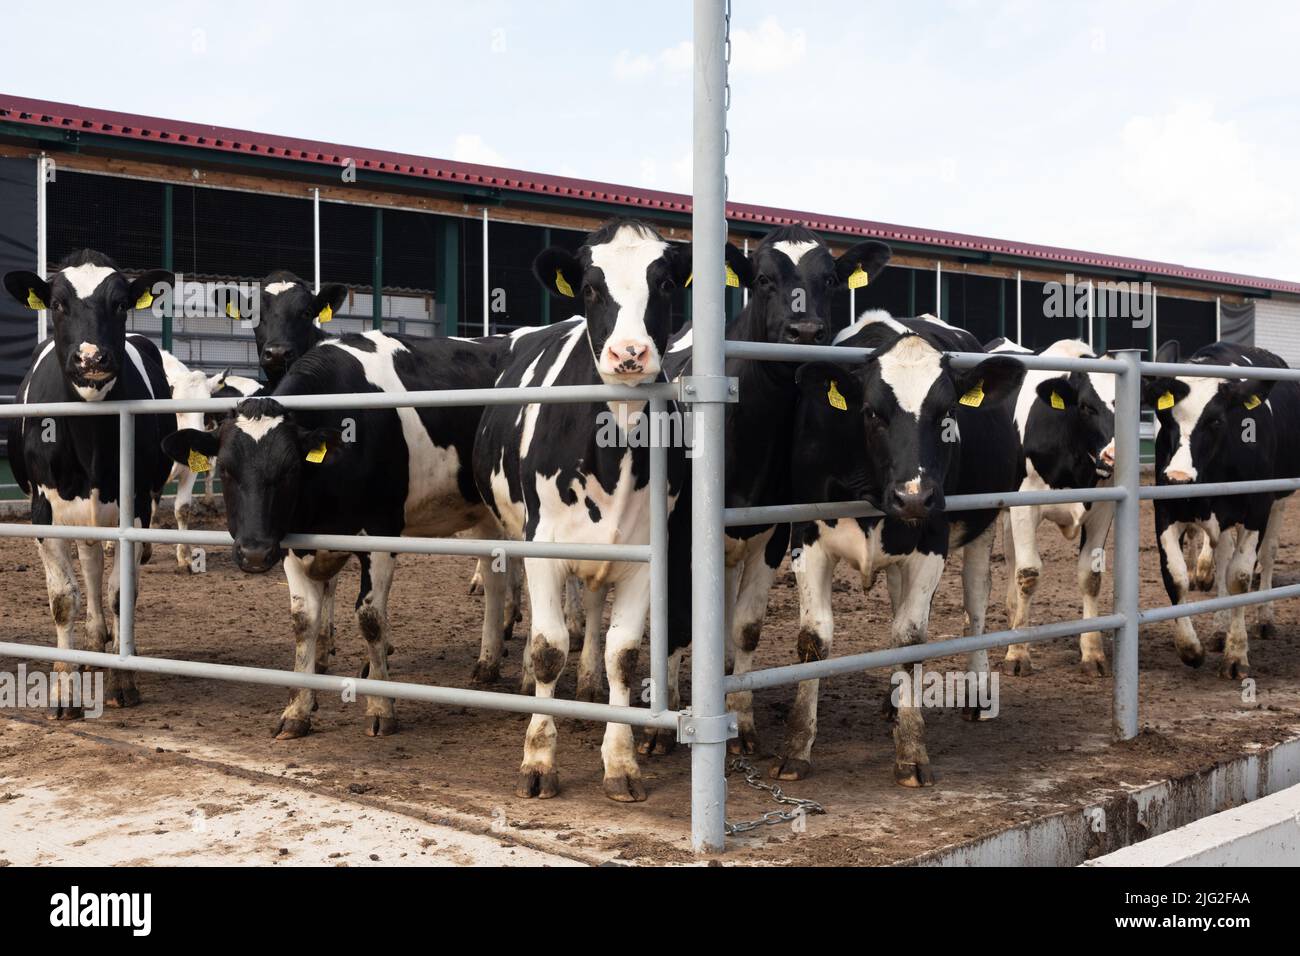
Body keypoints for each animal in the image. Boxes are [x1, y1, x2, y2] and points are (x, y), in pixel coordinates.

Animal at [3, 250, 175, 713]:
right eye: (57, 304)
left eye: (120, 303)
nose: (92, 358)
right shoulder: (43, 511)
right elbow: (64, 599)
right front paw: (65, 690)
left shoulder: (136, 508)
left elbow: (121, 594)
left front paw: (122, 679)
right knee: (90, 563)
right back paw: (92, 644)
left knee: (99, 569)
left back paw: (106, 642)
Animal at [161, 331, 511, 738]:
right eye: (227, 471)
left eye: (290, 471)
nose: (254, 554)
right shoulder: (291, 541)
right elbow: (303, 620)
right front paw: (298, 708)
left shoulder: (380, 535)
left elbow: (371, 618)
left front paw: (381, 706)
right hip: (483, 513)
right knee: (494, 575)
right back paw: (489, 658)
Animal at [776, 312, 1024, 785]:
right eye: (872, 412)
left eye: (948, 413)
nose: (913, 497)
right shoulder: (807, 538)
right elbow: (814, 639)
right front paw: (797, 747)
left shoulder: (932, 540)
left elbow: (911, 638)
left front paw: (911, 751)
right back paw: (893, 702)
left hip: (984, 523)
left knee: (975, 606)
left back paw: (977, 695)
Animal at [984, 337, 1117, 676]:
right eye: (1085, 406)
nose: (1112, 454)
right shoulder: (1025, 503)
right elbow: (1029, 574)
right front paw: (1018, 655)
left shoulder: (1103, 506)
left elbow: (1091, 576)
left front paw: (1093, 653)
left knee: (1010, 559)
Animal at [1143, 340, 1300, 678]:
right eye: (1165, 418)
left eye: (1215, 420)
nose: (1178, 477)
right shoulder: (1166, 508)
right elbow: (1176, 576)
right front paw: (1190, 648)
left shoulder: (1257, 511)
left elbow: (1240, 577)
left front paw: (1236, 655)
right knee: (1223, 558)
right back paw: (1218, 630)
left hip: (1278, 502)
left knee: (1267, 554)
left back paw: (1264, 619)